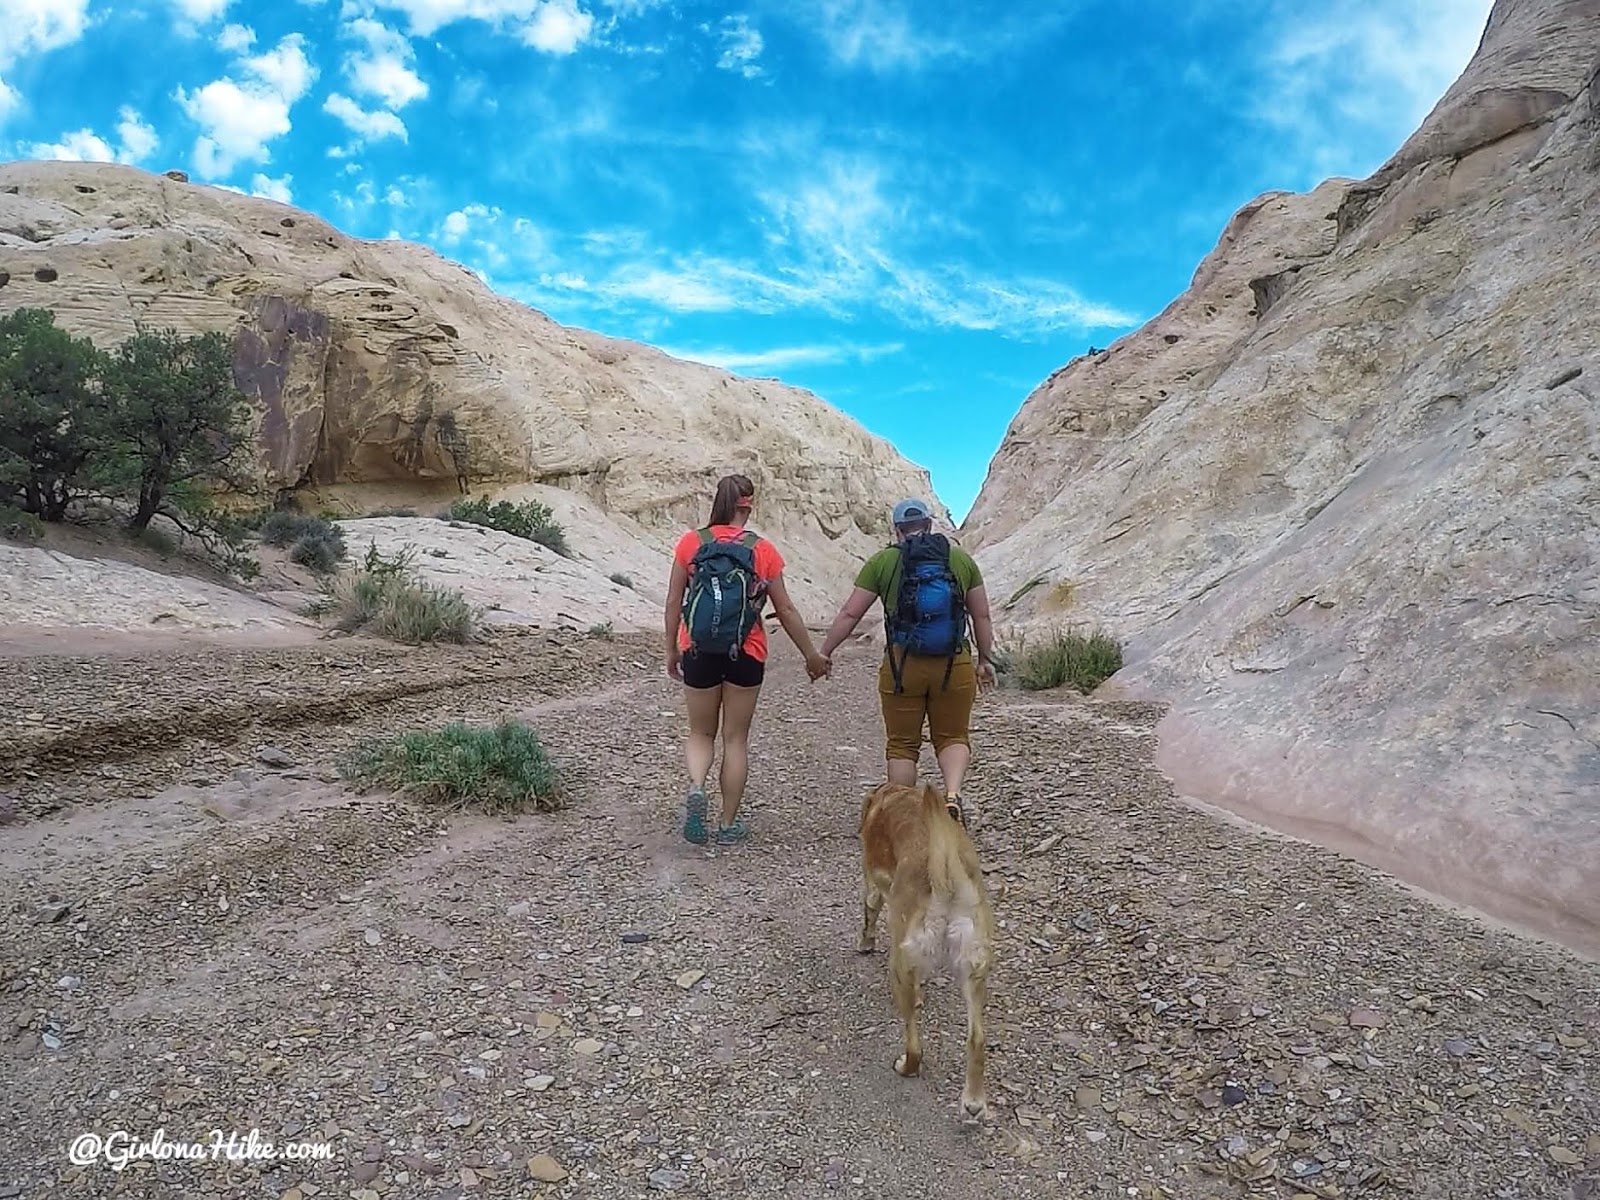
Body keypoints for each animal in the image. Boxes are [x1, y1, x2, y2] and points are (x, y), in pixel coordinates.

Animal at [857, 780, 992, 1120]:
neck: (895, 794)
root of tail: (946, 879)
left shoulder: (873, 887)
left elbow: (868, 915)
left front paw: (865, 943)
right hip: (974, 972)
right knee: (977, 1040)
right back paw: (973, 1101)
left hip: (899, 966)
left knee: (915, 1047)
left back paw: (906, 1066)